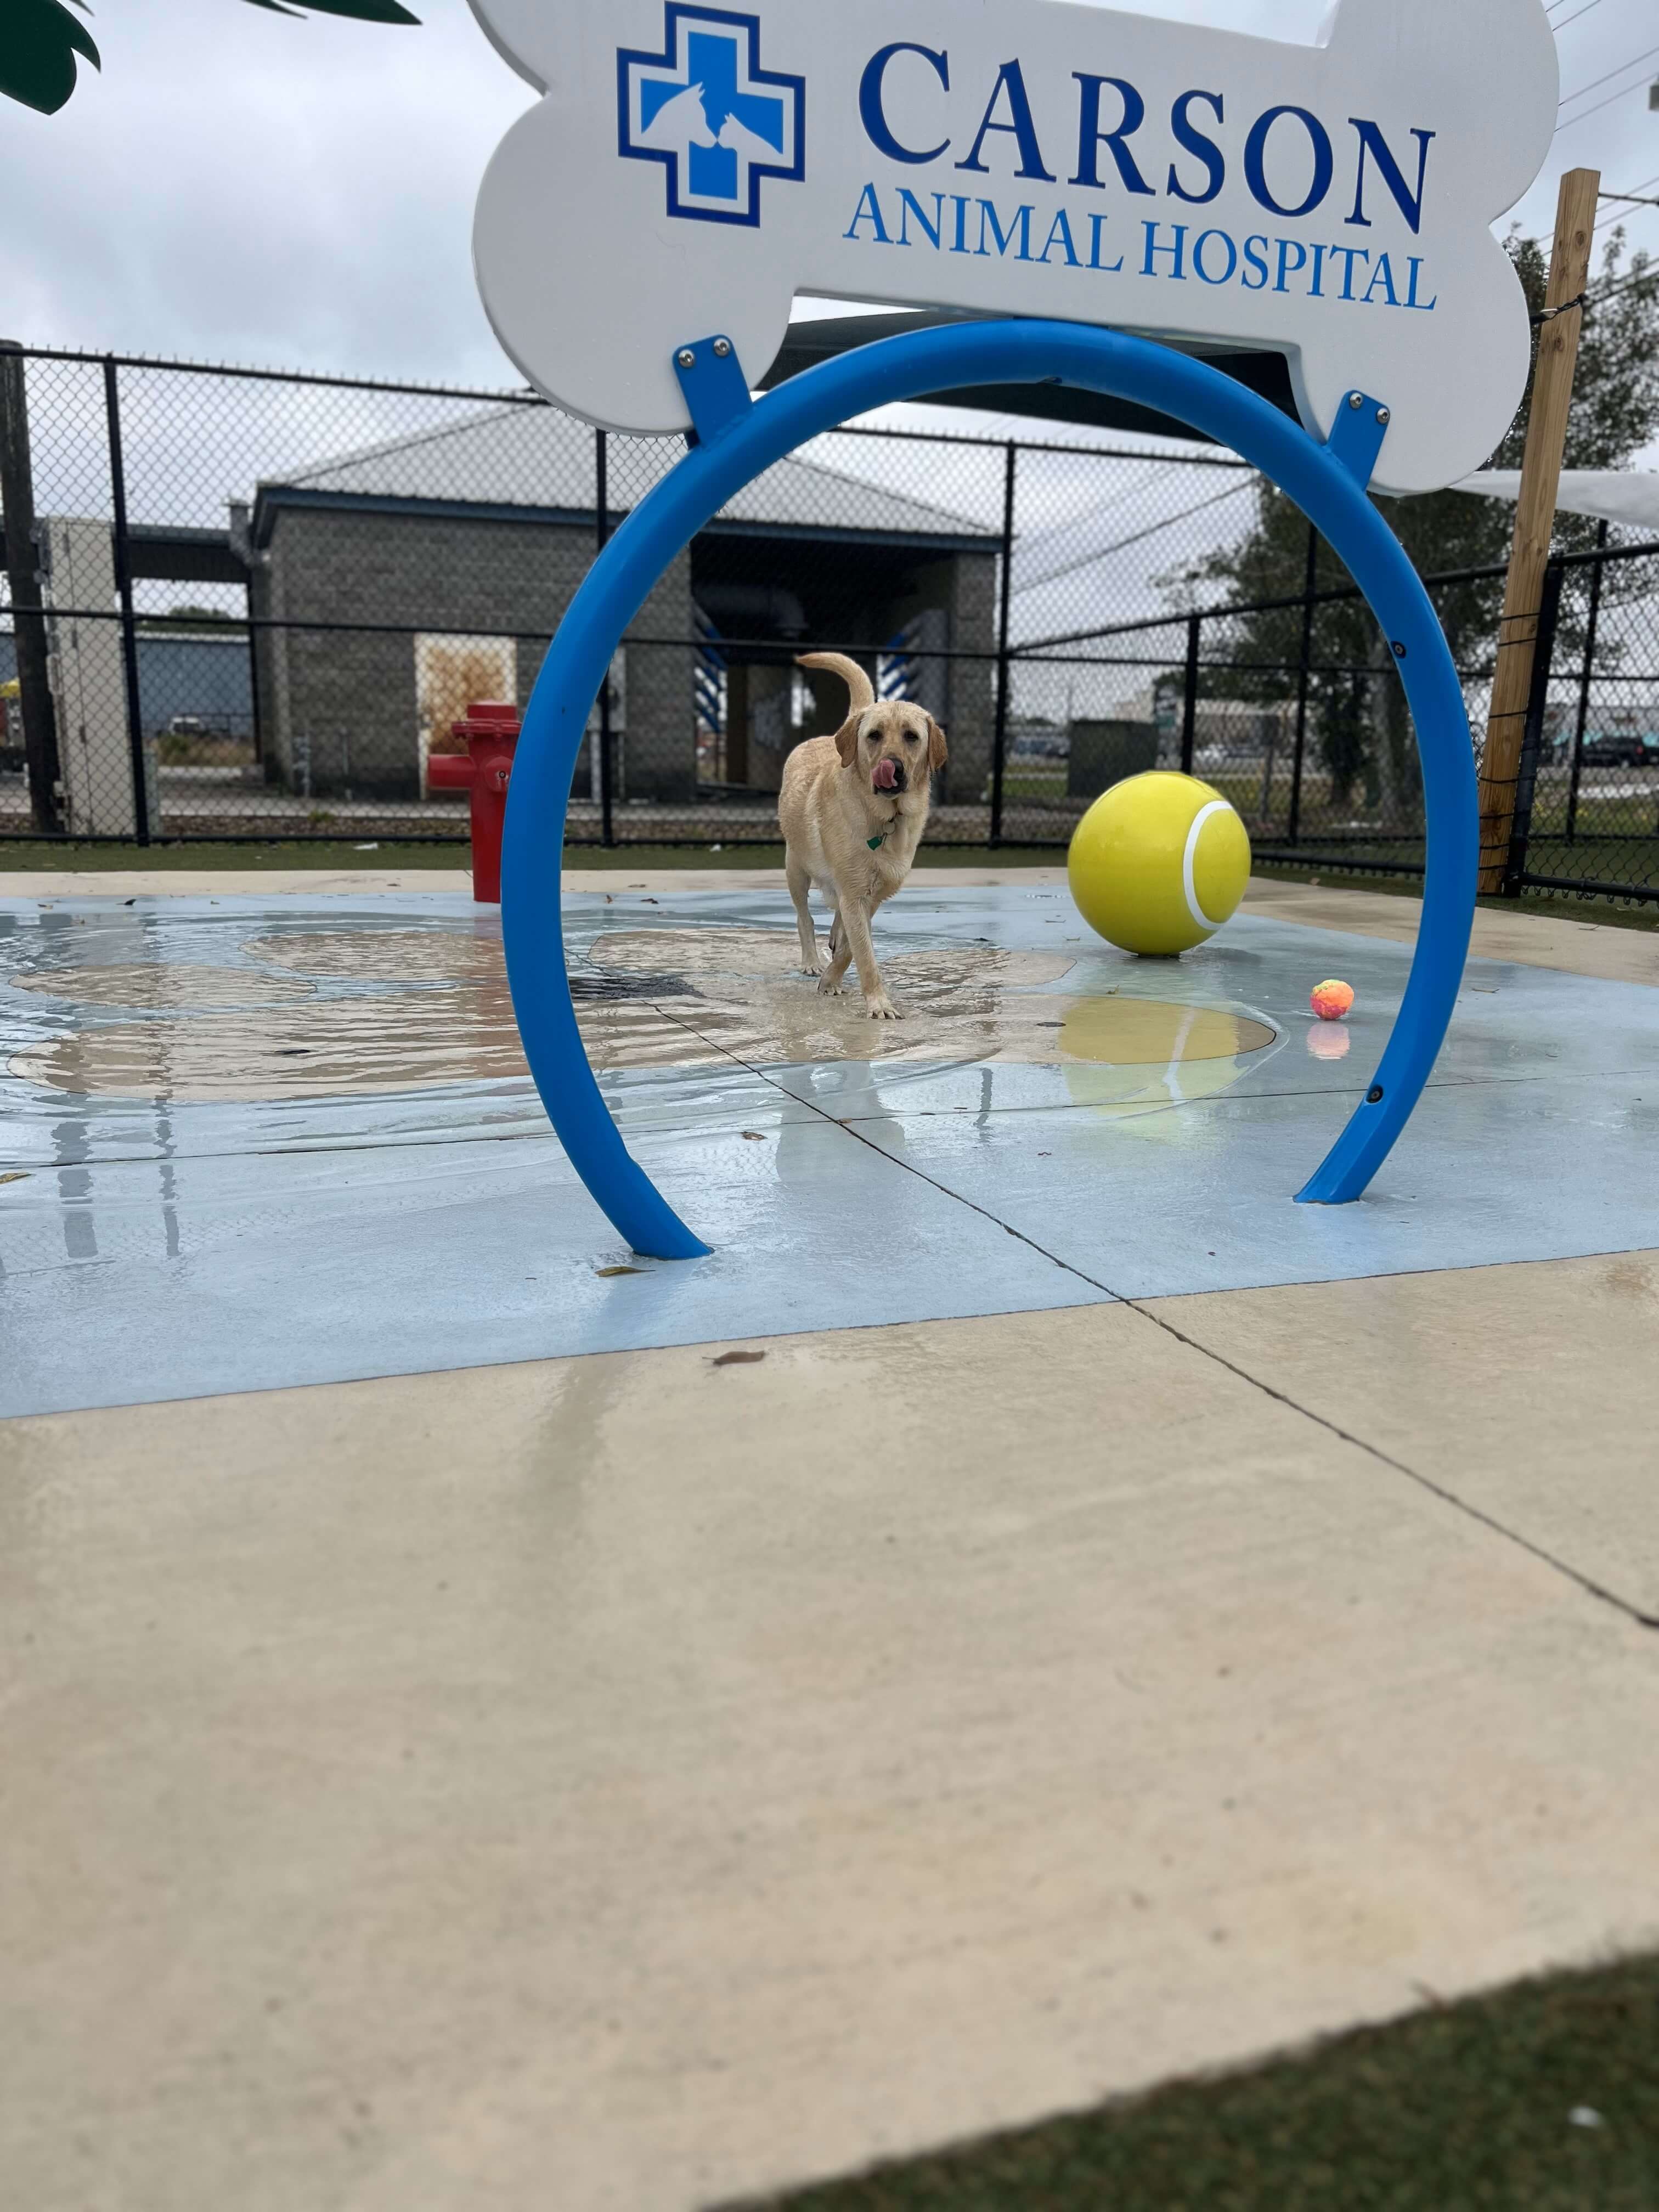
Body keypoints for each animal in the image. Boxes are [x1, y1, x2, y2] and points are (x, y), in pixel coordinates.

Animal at [778, 646, 946, 1013]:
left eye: (912, 736)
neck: (887, 819)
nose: (892, 767)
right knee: (804, 917)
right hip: (796, 867)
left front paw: (834, 980)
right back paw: (811, 960)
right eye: (875, 736)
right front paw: (878, 1003)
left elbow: (851, 949)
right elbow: (864, 953)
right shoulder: (855, 894)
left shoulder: (871, 896)